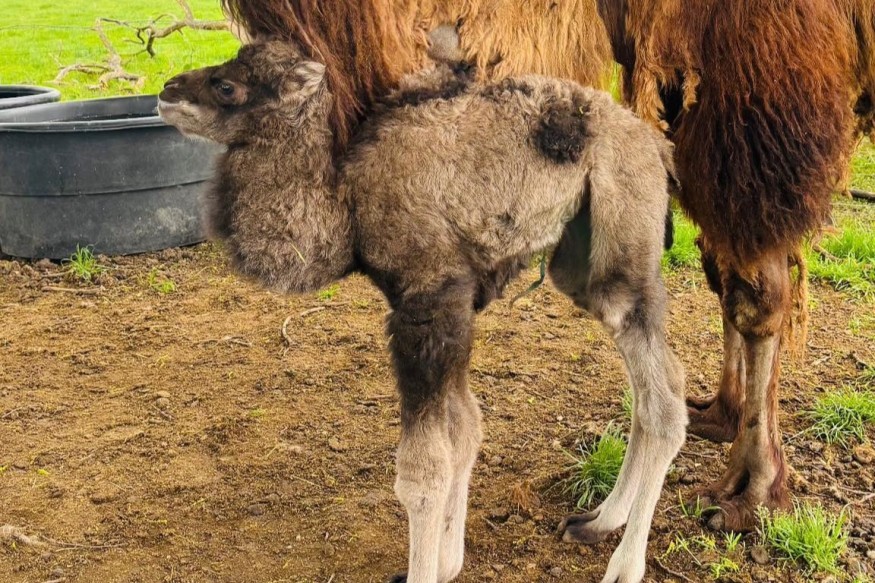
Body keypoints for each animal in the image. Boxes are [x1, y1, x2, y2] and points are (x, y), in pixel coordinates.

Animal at [159, 40, 685, 583]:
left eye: (227, 86)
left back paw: (624, 565)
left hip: (625, 248)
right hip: (581, 264)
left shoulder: (429, 304)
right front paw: (450, 562)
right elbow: (466, 429)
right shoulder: (450, 313)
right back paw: (599, 519)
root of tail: (655, 147)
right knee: (650, 388)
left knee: (664, 400)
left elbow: (424, 470)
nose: (167, 91)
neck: (349, 203)